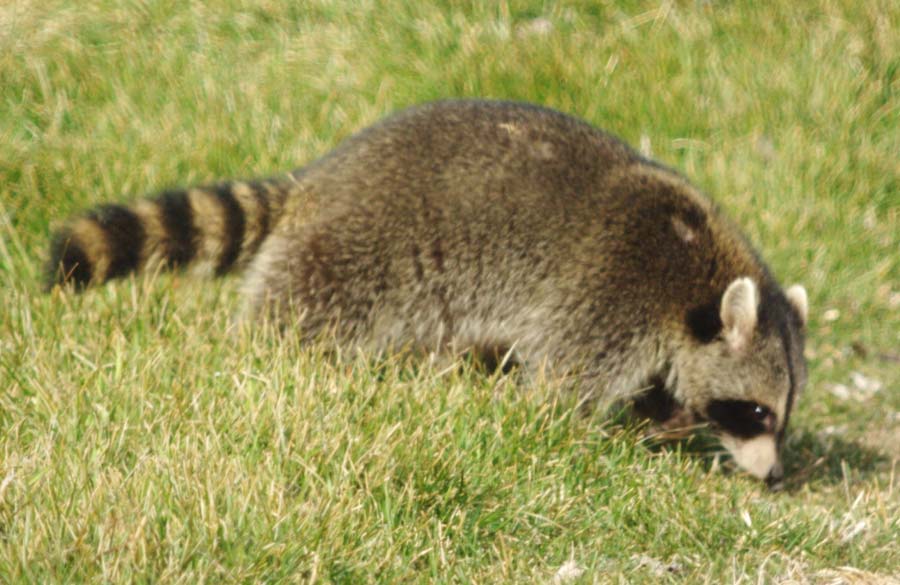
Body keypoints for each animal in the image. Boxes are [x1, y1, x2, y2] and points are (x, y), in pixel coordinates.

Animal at [47, 100, 809, 486]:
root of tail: (321, 177)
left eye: (781, 413)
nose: (775, 478)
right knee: (306, 304)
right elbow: (562, 385)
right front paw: (611, 424)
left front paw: (667, 411)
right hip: (364, 248)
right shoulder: (609, 291)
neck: (697, 278)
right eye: (756, 412)